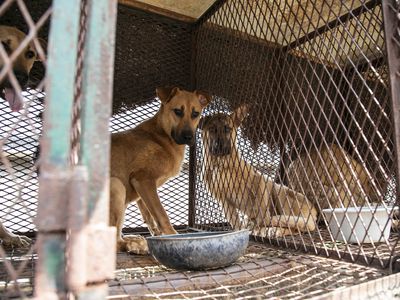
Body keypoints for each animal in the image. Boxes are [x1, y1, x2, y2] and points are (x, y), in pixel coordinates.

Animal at [108, 86, 211, 253]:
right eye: (178, 111)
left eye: (195, 113)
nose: (188, 137)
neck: (162, 136)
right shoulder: (143, 179)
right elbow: (161, 214)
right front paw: (174, 236)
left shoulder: (141, 189)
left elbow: (150, 216)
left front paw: (158, 236)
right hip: (116, 185)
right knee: (114, 241)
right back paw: (134, 244)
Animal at [198, 106, 318, 238]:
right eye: (212, 129)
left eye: (227, 129)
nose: (219, 146)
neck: (219, 164)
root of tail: (315, 211)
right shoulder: (223, 199)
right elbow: (234, 220)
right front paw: (240, 232)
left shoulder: (259, 180)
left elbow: (263, 213)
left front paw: (262, 224)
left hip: (280, 192)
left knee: (297, 226)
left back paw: (273, 229)